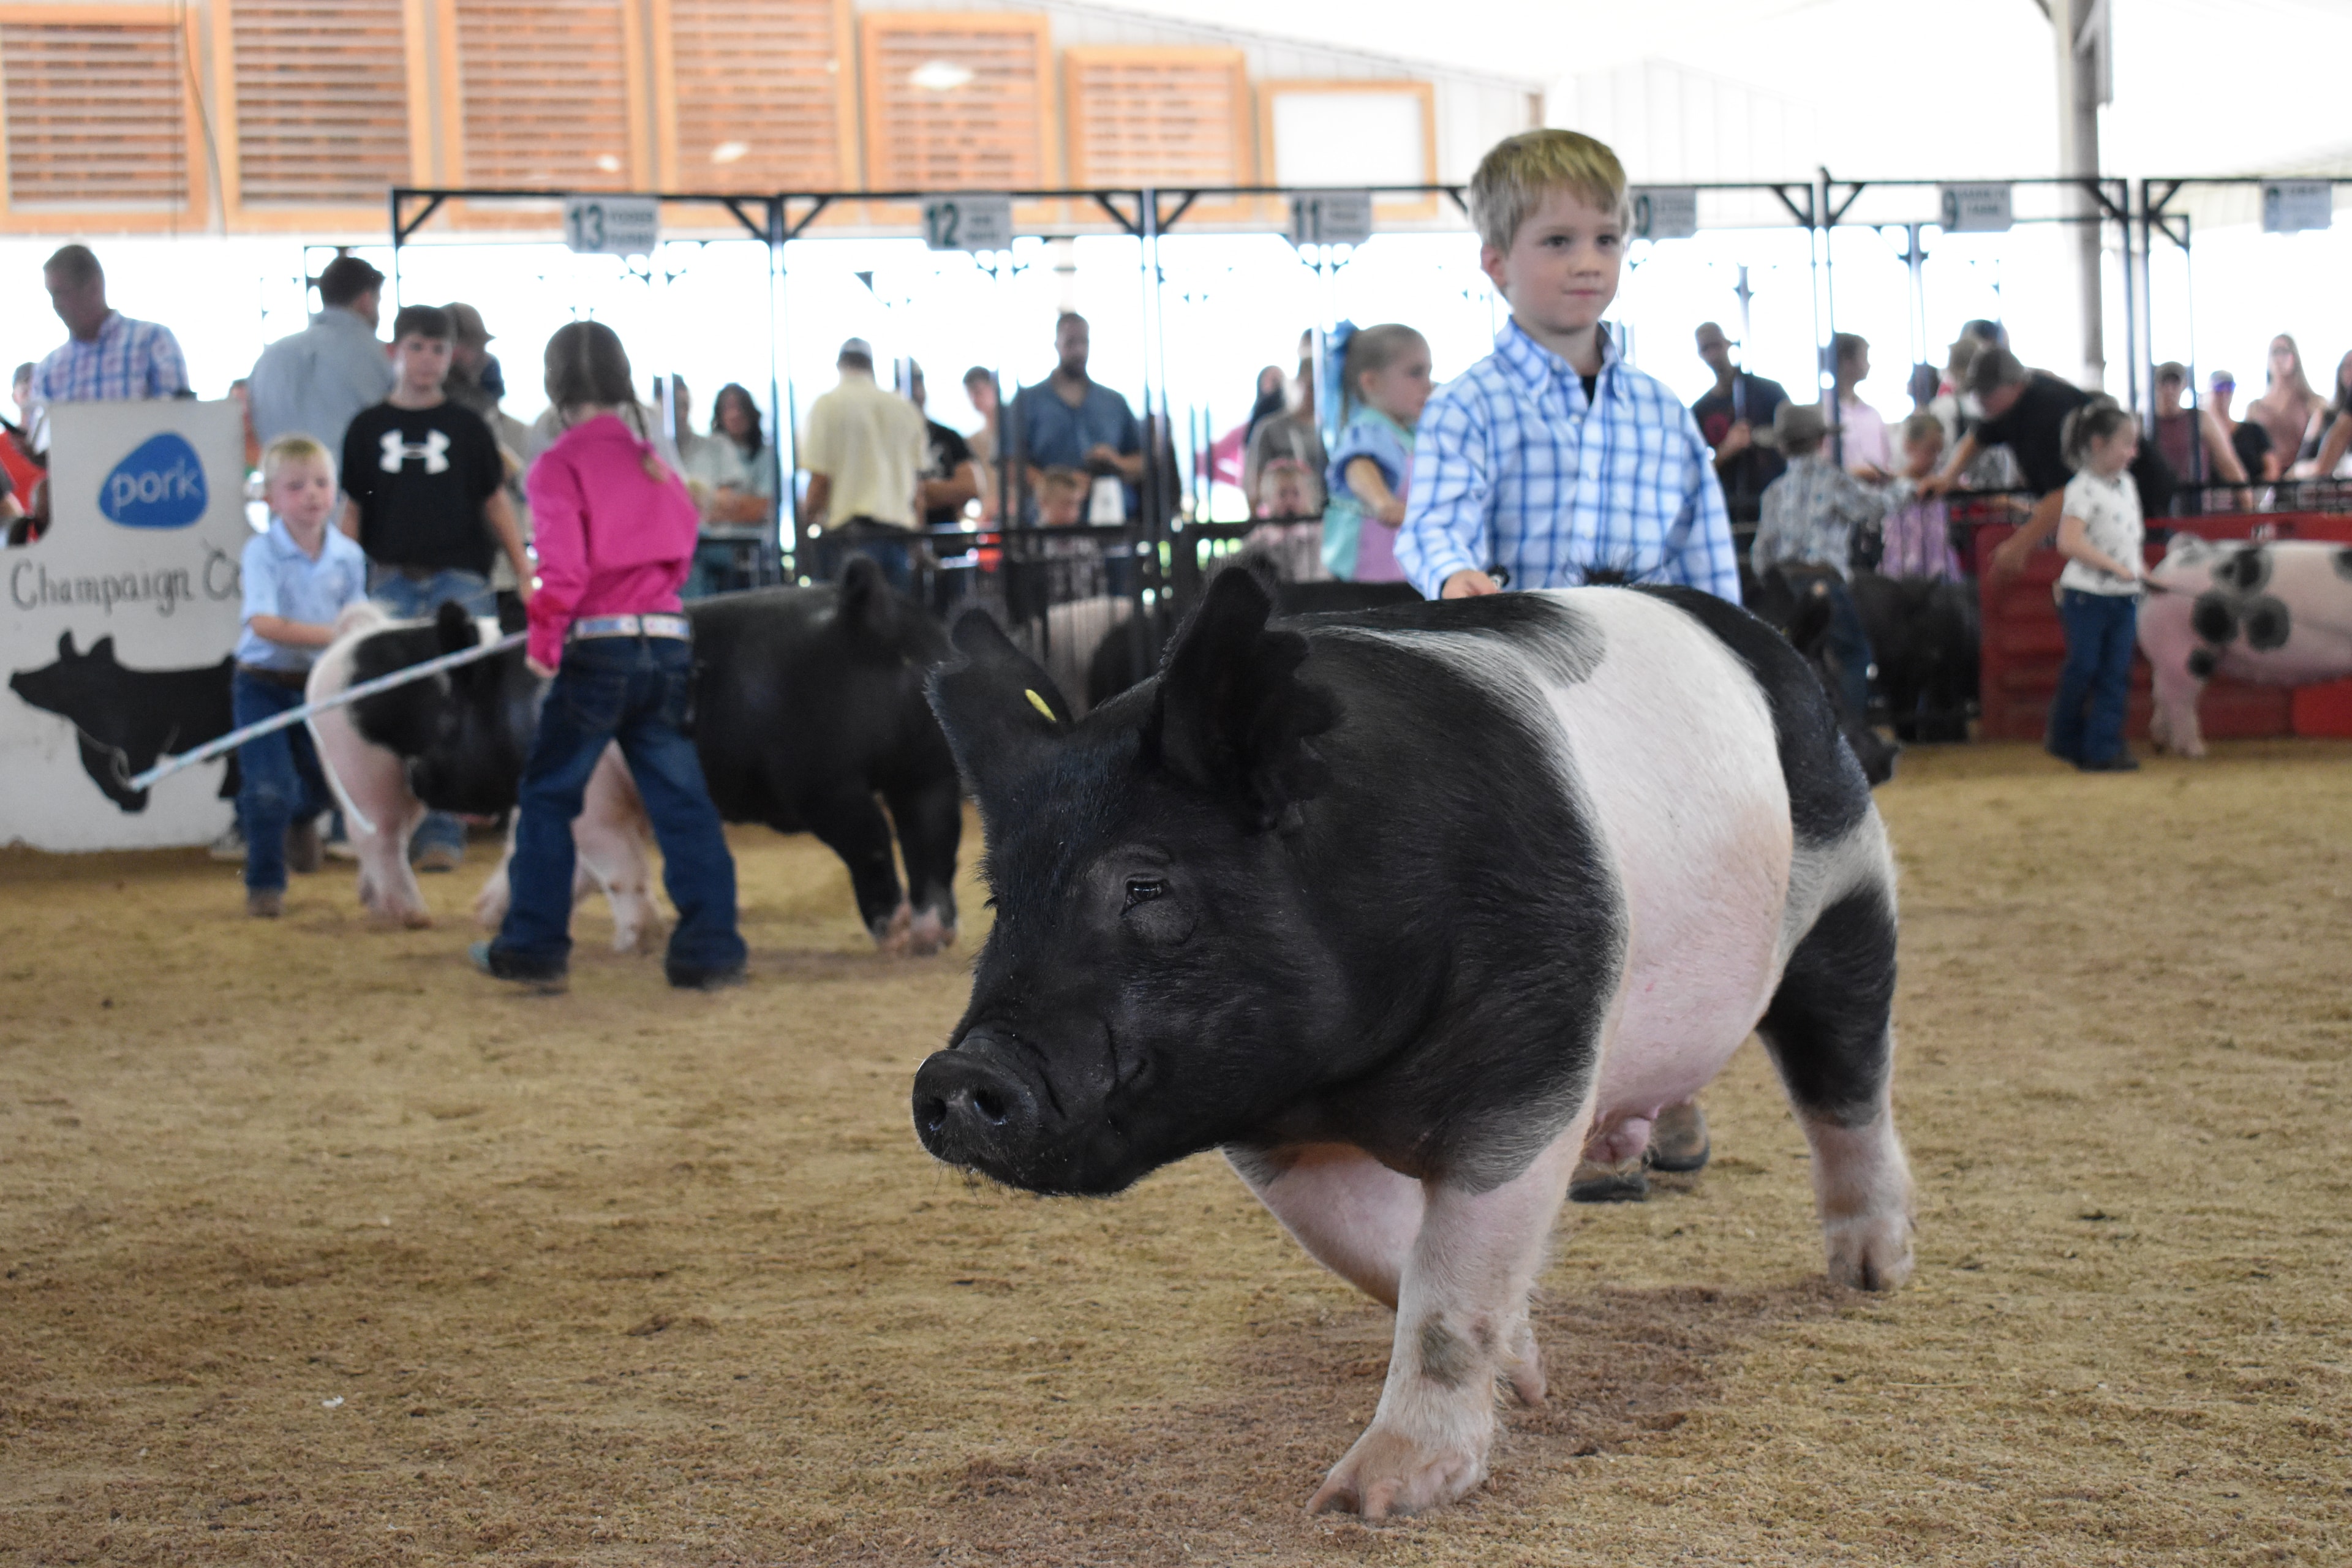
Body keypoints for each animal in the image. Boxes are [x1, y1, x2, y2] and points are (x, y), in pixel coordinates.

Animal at [913, 569, 1914, 1517]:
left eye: (1146, 885)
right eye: (1000, 897)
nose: (956, 1072)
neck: (1352, 1081)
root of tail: (1767, 643)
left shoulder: (1535, 1056)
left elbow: (1446, 1285)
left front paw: (1368, 1499)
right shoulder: (1277, 1135)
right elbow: (1384, 1260)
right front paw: (1529, 1377)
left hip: (1848, 894)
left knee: (1850, 1092)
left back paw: (1871, 1275)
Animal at [2140, 535, 2352, 757]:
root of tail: (2171, 563)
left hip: (2167, 652)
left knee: (2161, 692)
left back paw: (2160, 744)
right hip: (2185, 645)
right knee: (2179, 699)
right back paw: (2196, 751)